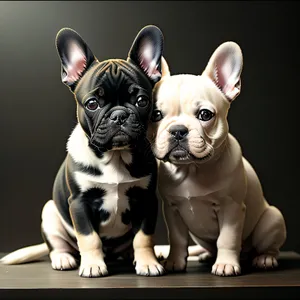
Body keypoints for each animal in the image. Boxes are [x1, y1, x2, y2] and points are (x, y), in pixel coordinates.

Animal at [0, 24, 166, 278]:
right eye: (92, 104)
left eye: (142, 101)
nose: (119, 115)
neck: (115, 156)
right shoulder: (80, 203)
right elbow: (89, 238)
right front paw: (93, 265)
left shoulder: (147, 200)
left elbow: (143, 236)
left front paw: (147, 262)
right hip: (50, 212)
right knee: (58, 245)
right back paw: (63, 258)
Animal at [151, 42, 288, 276]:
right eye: (156, 115)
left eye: (205, 115)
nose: (178, 130)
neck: (191, 169)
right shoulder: (172, 209)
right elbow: (177, 239)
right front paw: (174, 262)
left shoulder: (231, 209)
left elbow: (227, 239)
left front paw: (226, 264)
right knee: (206, 246)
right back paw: (206, 255)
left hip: (272, 220)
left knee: (268, 246)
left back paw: (264, 259)